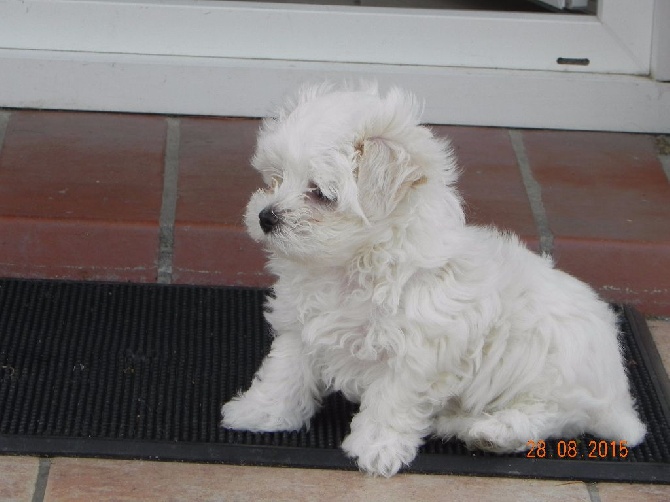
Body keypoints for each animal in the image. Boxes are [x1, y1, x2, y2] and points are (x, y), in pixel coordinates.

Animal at [223, 81, 648, 474]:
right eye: (275, 179)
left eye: (320, 193)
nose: (265, 216)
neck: (352, 265)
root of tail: (618, 396)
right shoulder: (300, 328)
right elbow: (284, 374)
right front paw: (258, 413)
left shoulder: (416, 352)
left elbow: (391, 401)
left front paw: (377, 448)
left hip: (552, 372)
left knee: (546, 416)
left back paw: (491, 431)